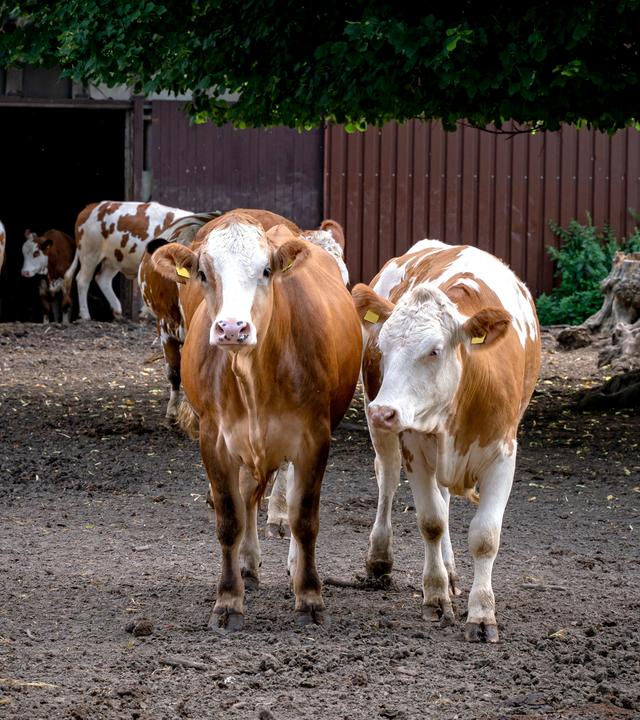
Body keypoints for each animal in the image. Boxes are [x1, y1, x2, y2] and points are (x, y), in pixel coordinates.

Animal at [150, 211, 362, 630]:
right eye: (203, 273)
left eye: (265, 270)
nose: (232, 328)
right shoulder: (214, 439)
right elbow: (229, 517)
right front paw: (228, 600)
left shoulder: (314, 437)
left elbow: (304, 517)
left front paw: (309, 596)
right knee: (248, 495)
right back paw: (247, 564)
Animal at [351, 239, 541, 643]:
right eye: (383, 346)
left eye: (434, 350)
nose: (382, 411)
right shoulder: (414, 445)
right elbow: (431, 522)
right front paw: (436, 597)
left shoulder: (503, 454)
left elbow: (485, 535)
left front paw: (482, 613)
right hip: (387, 436)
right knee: (388, 480)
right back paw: (380, 558)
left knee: (445, 499)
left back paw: (453, 571)